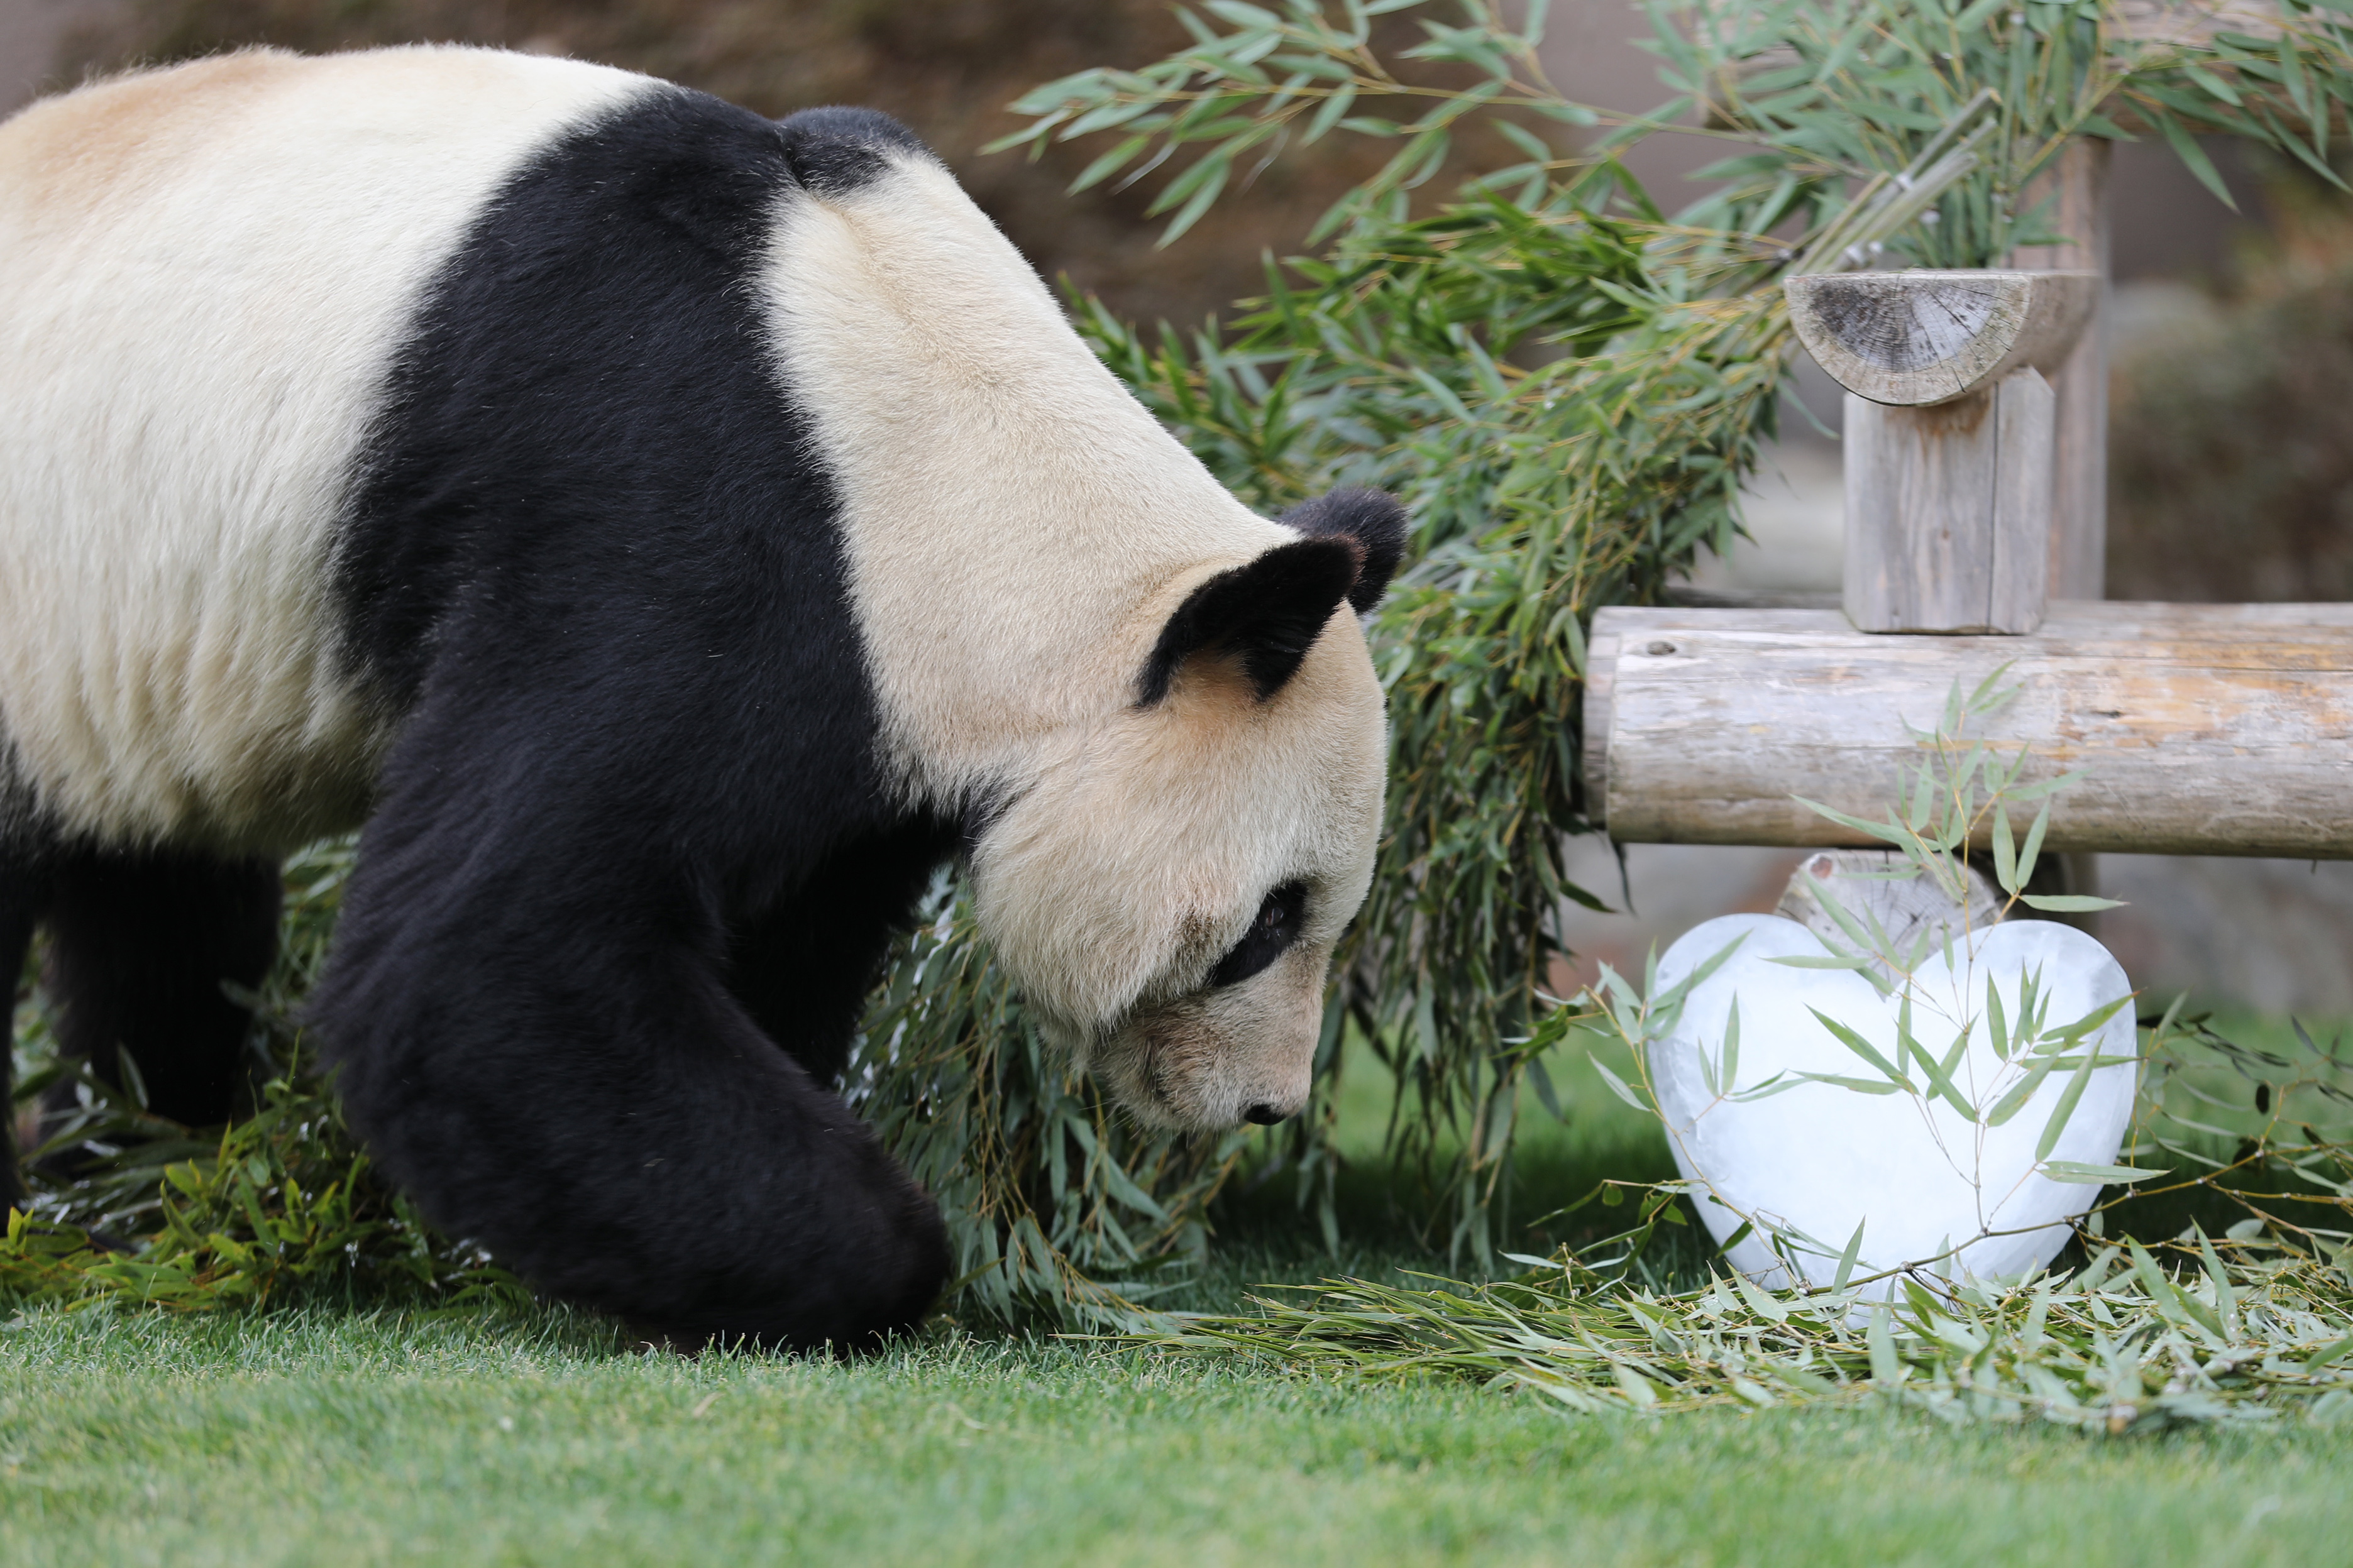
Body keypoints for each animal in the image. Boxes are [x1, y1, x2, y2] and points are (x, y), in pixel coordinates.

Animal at [0, 49, 1392, 1354]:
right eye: (1268, 922)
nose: (1266, 1103)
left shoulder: (865, 711)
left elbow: (784, 935)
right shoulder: (680, 510)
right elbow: (479, 962)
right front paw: (870, 1258)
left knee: (158, 904)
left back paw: (137, 1169)